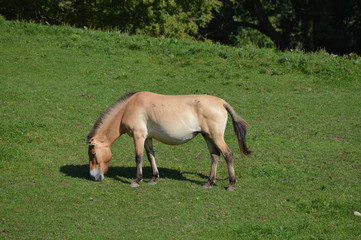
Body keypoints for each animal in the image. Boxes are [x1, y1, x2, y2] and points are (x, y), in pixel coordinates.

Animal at [87, 91, 250, 190]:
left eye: (93, 154)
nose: (94, 176)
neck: (128, 108)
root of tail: (222, 102)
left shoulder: (139, 136)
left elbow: (139, 157)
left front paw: (136, 180)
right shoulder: (148, 138)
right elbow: (150, 156)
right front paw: (153, 178)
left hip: (215, 136)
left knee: (228, 154)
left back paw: (231, 184)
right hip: (207, 136)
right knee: (215, 156)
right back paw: (208, 182)